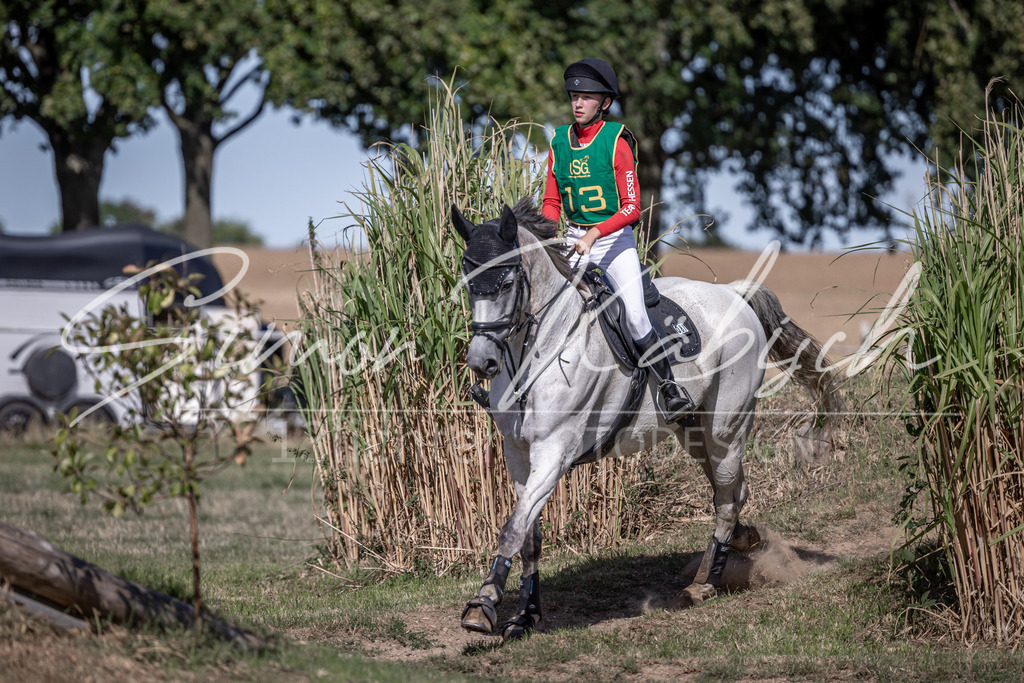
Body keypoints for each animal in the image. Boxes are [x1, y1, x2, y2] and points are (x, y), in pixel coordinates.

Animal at [452, 198, 841, 639]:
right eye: (468, 282)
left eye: (505, 283)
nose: (481, 362)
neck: (536, 350)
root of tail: (732, 293)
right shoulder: (518, 454)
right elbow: (528, 534)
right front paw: (525, 615)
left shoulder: (553, 452)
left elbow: (513, 528)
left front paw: (482, 604)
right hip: (694, 434)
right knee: (733, 491)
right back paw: (743, 541)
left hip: (726, 429)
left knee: (726, 498)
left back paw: (703, 584)